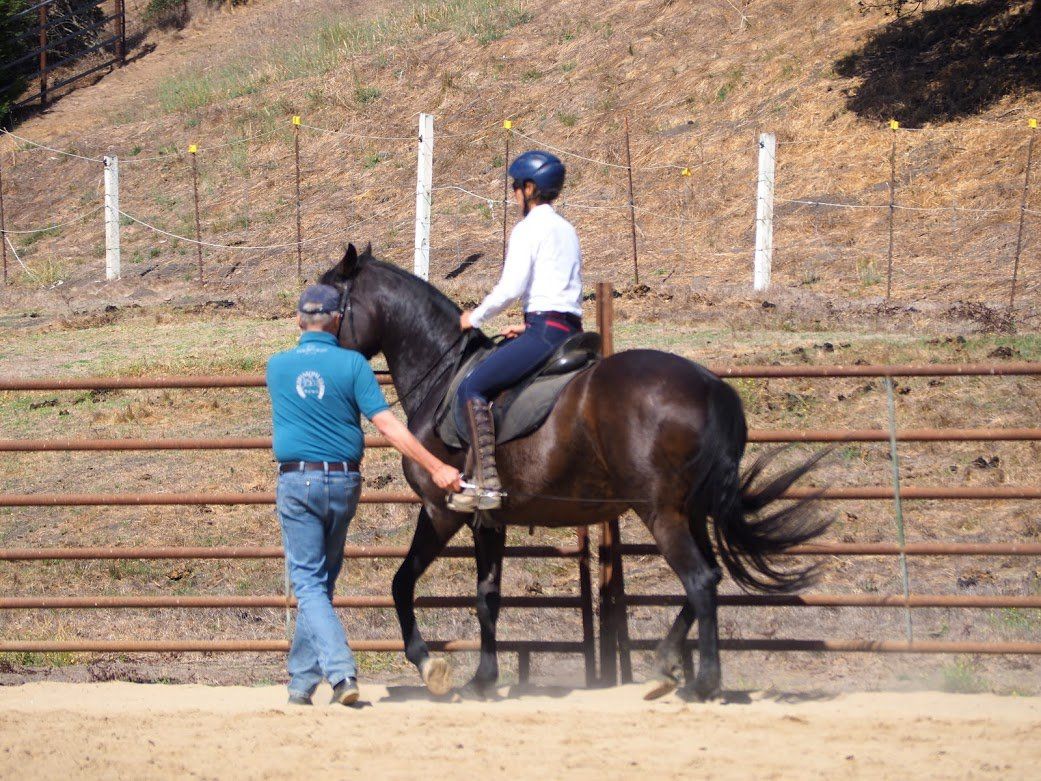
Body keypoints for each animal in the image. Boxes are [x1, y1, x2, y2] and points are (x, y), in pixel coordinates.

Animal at [320, 244, 824, 703]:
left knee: (699, 581)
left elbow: (402, 582)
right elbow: (487, 597)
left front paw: (430, 665)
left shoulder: (442, 511)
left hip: (661, 513)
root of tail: (710, 385)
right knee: (711, 578)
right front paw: (483, 679)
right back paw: (673, 668)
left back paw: (700, 683)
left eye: (323, 306)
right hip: (692, 512)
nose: (312, 350)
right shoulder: (490, 522)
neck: (445, 374)